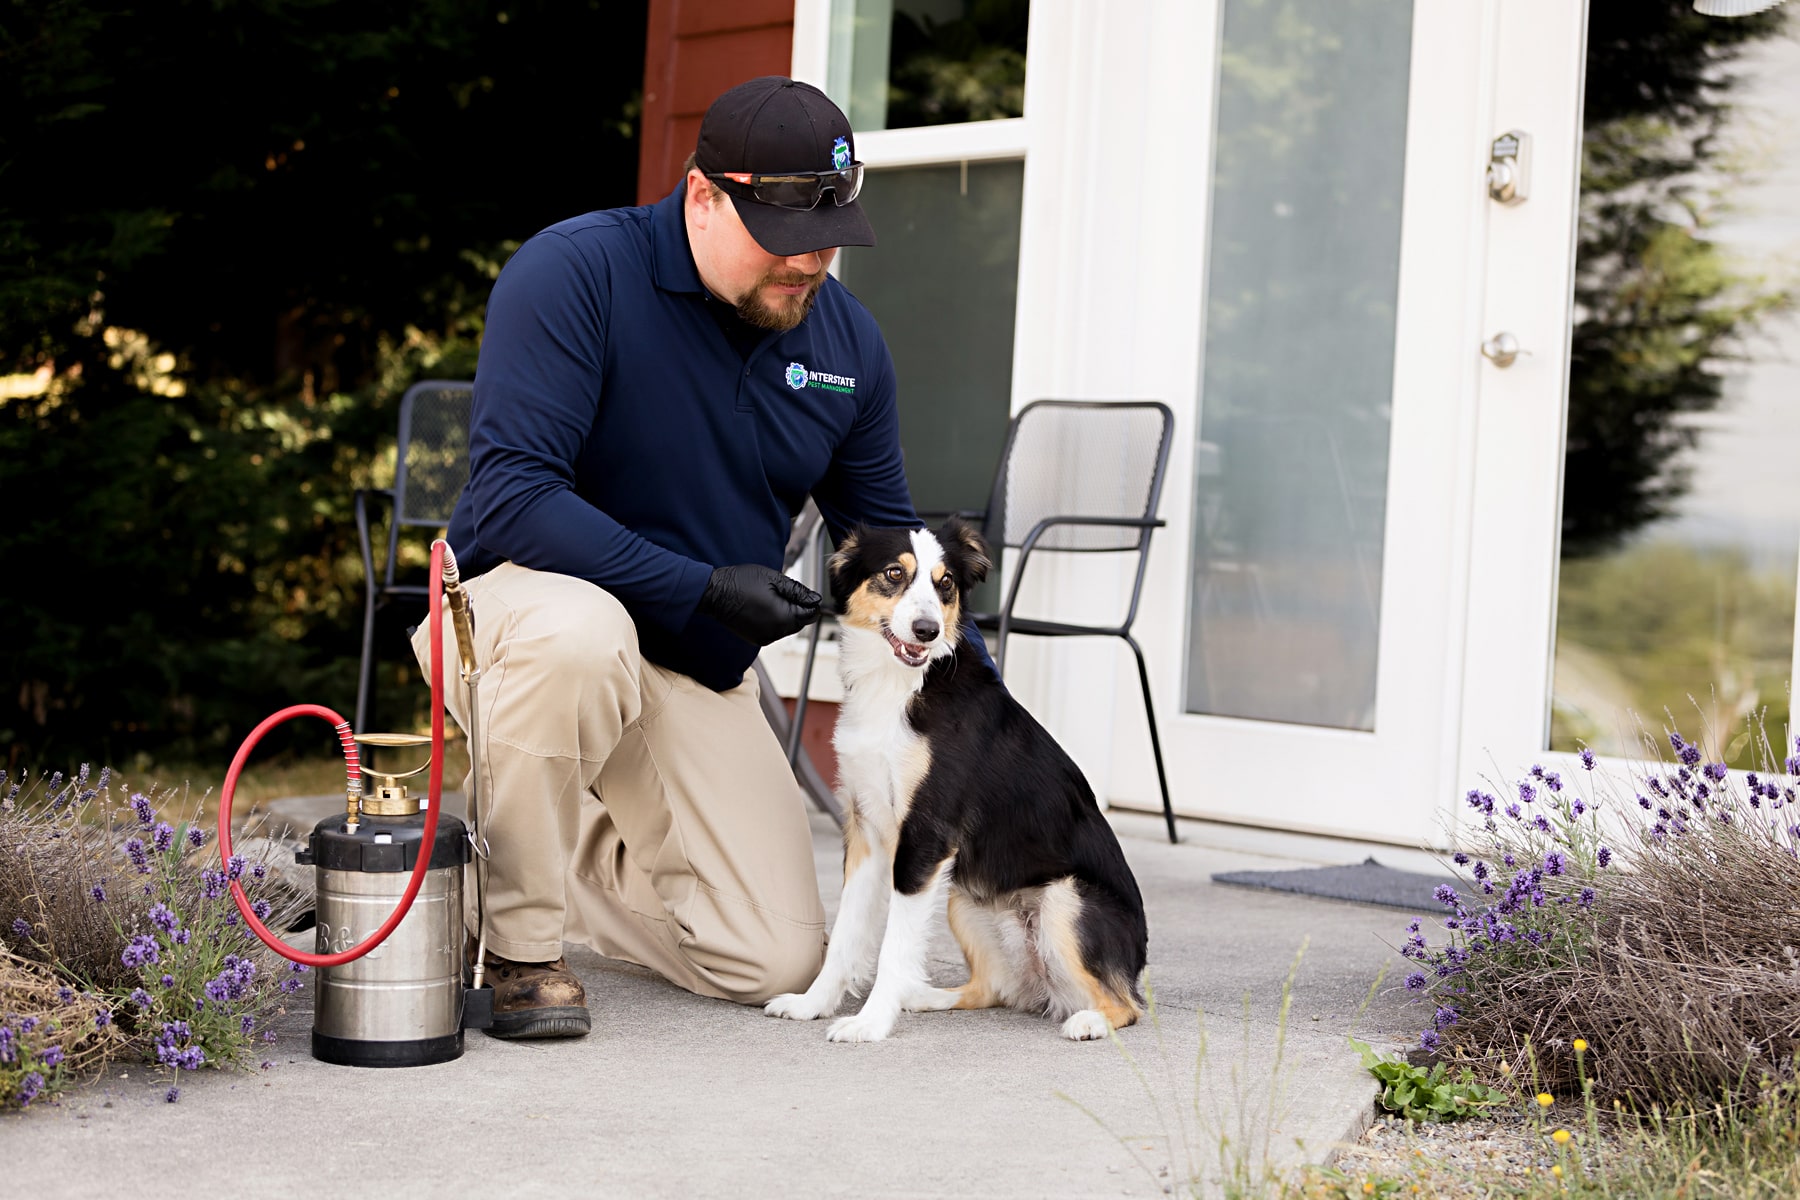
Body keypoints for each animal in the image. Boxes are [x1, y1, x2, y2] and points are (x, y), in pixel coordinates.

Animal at [766, 518, 1144, 1043]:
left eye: (945, 583)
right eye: (894, 573)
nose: (927, 630)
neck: (900, 686)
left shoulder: (925, 837)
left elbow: (894, 946)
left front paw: (870, 1023)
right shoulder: (866, 832)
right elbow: (845, 935)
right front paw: (813, 1004)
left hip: (1065, 900)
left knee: (1127, 1004)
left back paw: (1089, 1021)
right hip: (964, 899)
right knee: (993, 988)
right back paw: (923, 996)